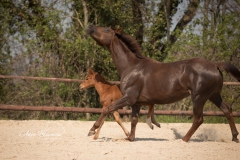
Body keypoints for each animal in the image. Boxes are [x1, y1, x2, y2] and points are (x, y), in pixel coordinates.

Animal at [85, 24, 239, 142]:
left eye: (106, 29)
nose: (90, 26)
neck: (131, 67)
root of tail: (215, 65)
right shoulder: (136, 102)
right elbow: (134, 120)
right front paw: (130, 138)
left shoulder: (129, 98)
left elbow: (107, 108)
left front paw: (92, 130)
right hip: (214, 95)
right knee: (227, 110)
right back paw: (234, 137)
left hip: (199, 97)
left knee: (199, 119)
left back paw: (184, 139)